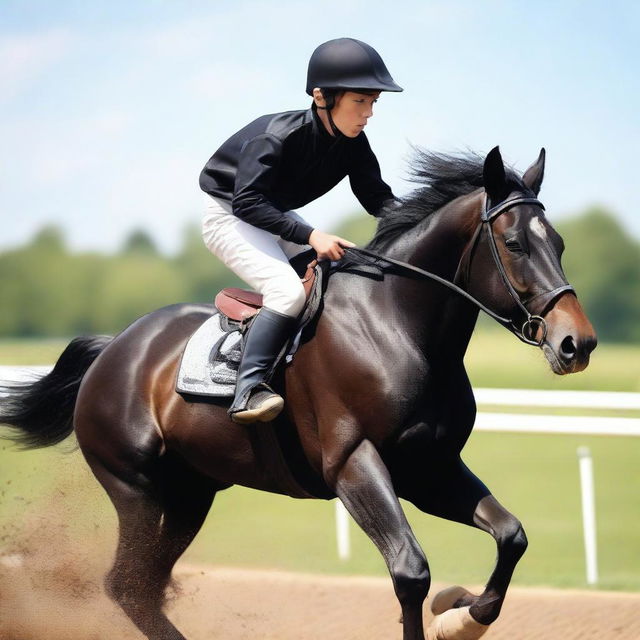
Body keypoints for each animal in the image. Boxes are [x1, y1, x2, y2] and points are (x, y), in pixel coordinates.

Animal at [2, 148, 596, 640]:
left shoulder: (429, 468)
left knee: (144, 586)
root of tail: (113, 349)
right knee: (126, 584)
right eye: (515, 244)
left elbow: (511, 535)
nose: (578, 342)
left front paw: (461, 614)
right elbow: (410, 572)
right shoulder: (354, 464)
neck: (397, 326)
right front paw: (446, 609)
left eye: (561, 243)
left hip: (190, 493)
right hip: (135, 487)